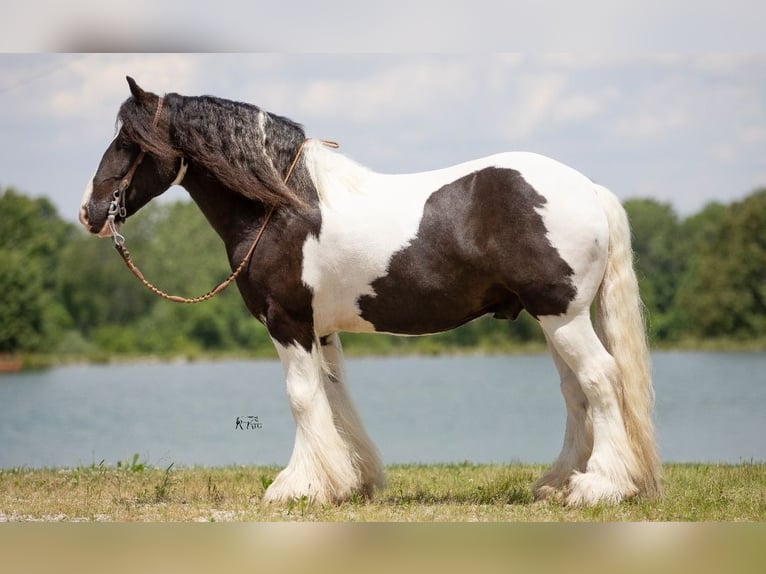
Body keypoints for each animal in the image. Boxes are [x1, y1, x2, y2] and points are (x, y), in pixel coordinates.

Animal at [81, 76, 664, 508]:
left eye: (129, 142)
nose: (90, 211)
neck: (284, 207)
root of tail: (589, 189)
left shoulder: (287, 323)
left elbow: (301, 398)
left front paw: (298, 487)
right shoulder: (318, 331)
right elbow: (333, 398)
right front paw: (350, 480)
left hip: (562, 316)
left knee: (601, 379)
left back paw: (599, 486)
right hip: (555, 318)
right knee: (575, 392)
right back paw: (558, 482)